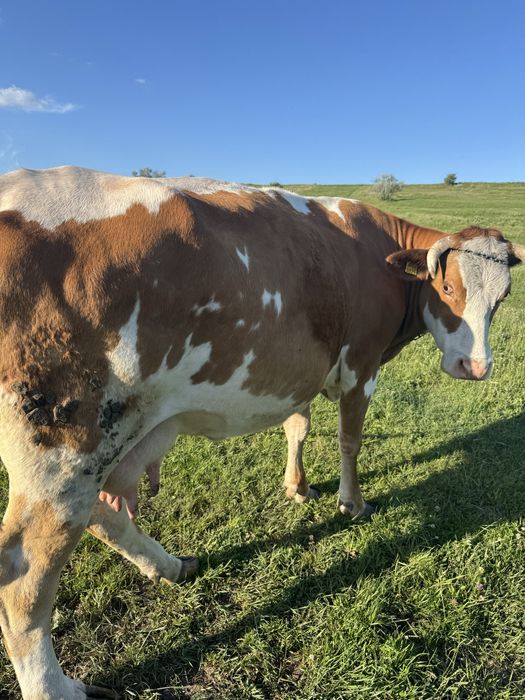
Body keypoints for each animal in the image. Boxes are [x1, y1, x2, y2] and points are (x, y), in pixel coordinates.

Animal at [0, 165, 522, 700]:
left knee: (99, 518)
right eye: (449, 288)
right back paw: (56, 687)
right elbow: (350, 439)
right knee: (23, 574)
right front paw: (352, 503)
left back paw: (168, 566)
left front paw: (297, 486)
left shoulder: (301, 372)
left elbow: (298, 426)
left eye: (501, 298)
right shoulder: (362, 361)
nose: (476, 367)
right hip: (66, 447)